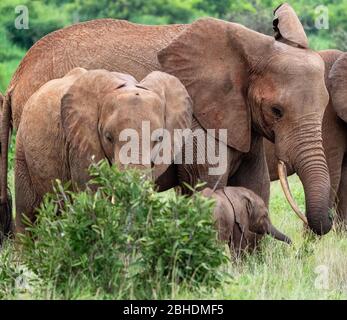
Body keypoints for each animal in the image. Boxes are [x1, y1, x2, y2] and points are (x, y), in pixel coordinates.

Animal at [14, 67, 193, 234]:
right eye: (108, 137)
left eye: (159, 139)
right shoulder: (79, 146)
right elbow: (95, 198)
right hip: (21, 148)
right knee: (26, 215)